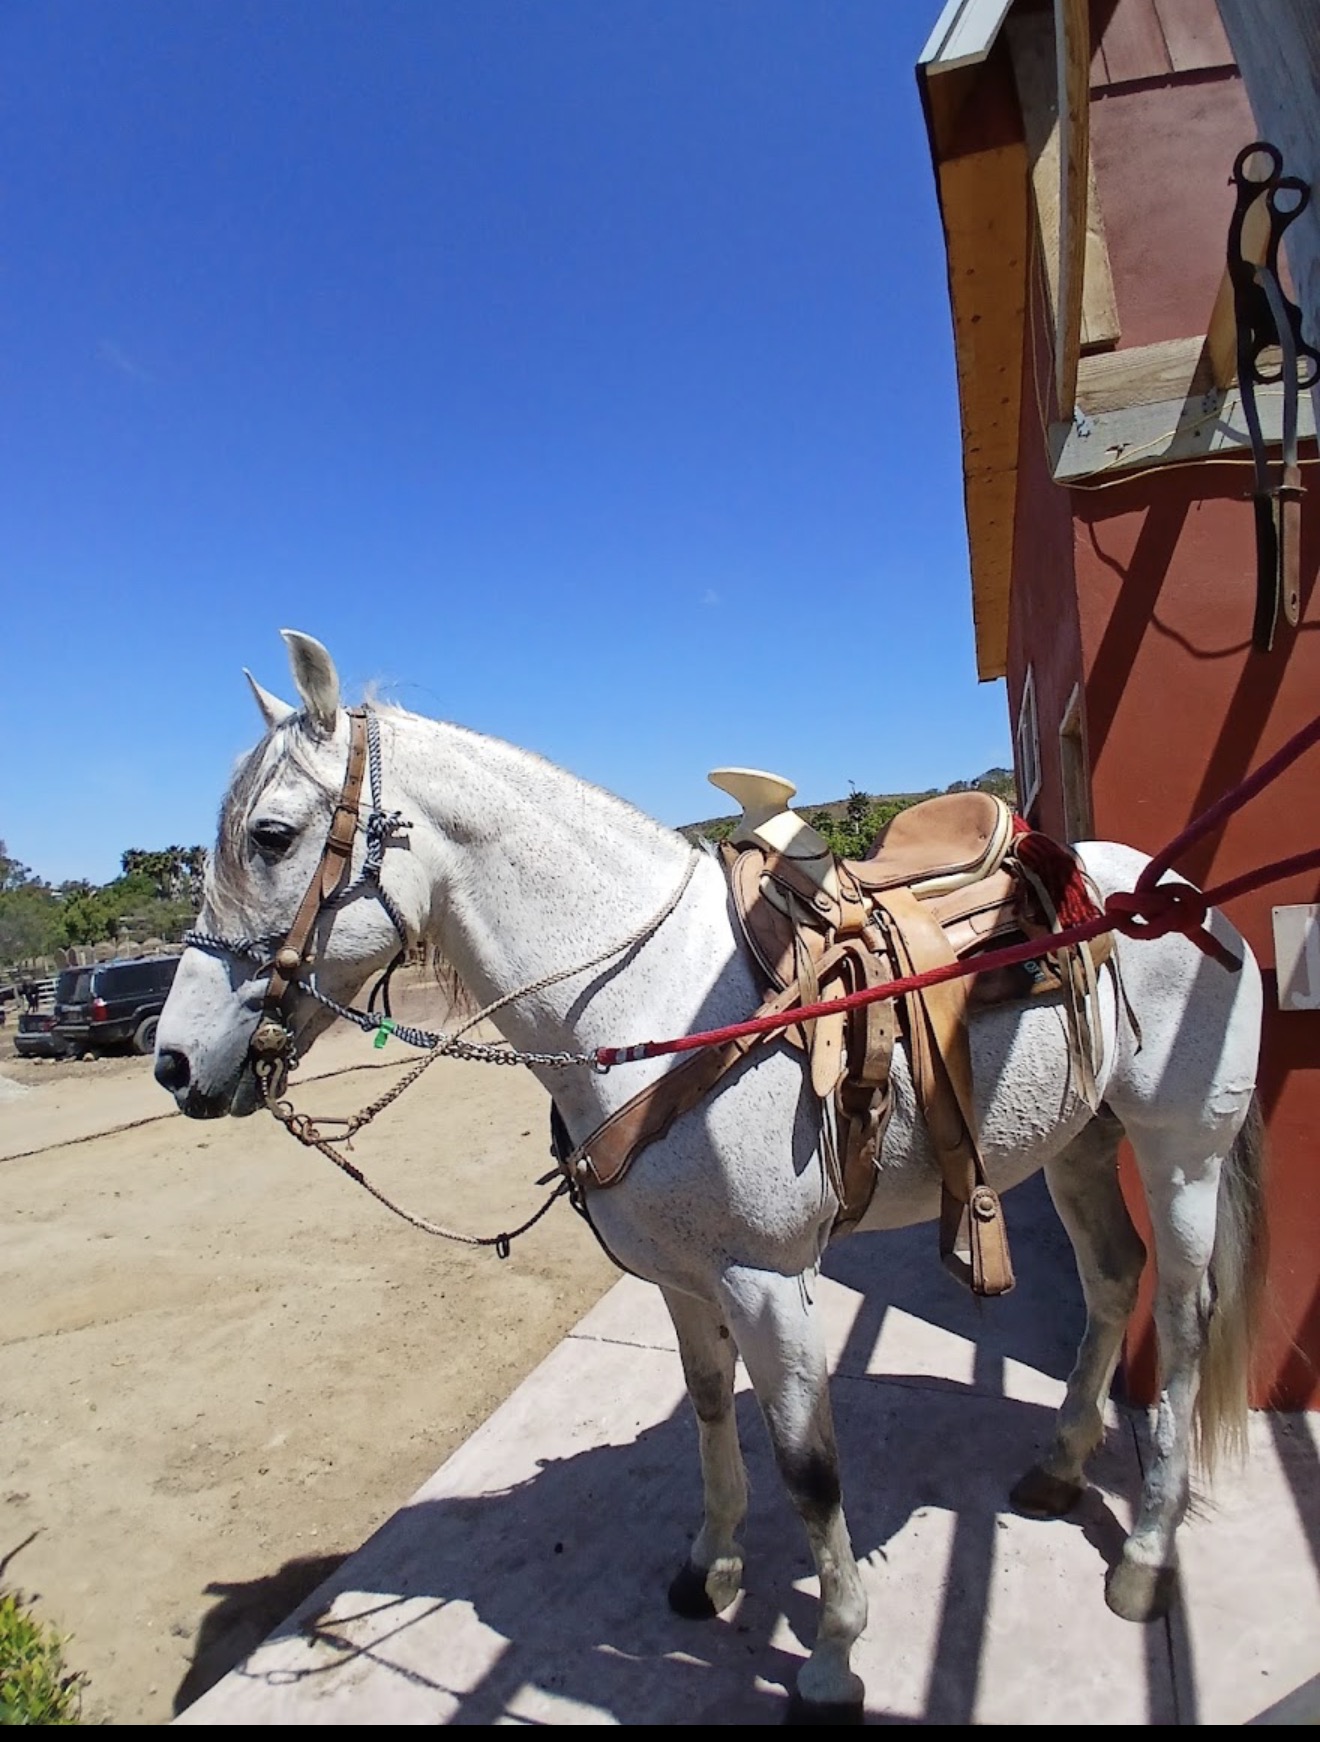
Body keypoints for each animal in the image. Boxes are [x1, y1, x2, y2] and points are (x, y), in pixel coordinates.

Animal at [155, 630, 1266, 1723]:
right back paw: (1060, 1465)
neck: (652, 999)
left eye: (271, 835)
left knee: (1179, 1319)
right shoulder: (683, 1277)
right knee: (1113, 1280)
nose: (171, 1063)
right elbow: (707, 1405)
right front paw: (713, 1565)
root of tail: (1179, 896)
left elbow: (808, 1466)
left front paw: (832, 1656)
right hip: (1078, 1143)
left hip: (1180, 1155)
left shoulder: (766, 1280)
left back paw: (1145, 1553)